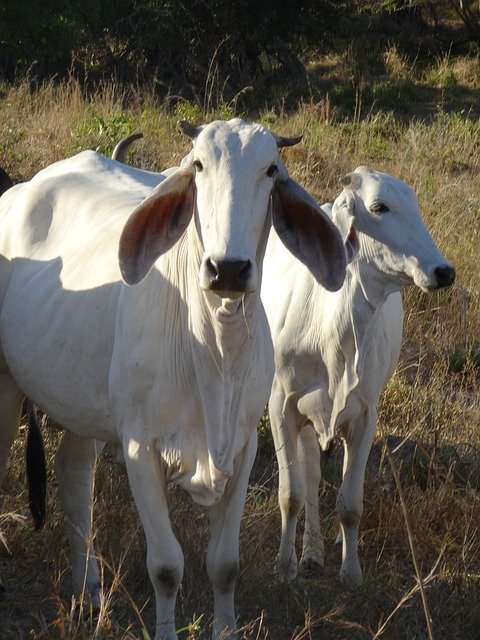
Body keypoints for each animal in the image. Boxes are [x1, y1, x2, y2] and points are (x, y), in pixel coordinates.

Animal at [0, 120, 346, 640]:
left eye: (271, 170)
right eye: (198, 164)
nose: (228, 269)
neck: (215, 346)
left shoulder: (243, 448)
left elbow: (225, 565)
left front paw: (226, 629)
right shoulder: (140, 448)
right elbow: (165, 567)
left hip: (84, 408)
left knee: (74, 476)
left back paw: (88, 593)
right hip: (5, 387)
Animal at [262, 168, 454, 588]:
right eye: (379, 207)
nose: (444, 271)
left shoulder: (366, 415)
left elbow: (350, 504)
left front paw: (351, 571)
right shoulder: (282, 405)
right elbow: (291, 494)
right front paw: (283, 567)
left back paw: (317, 549)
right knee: (310, 475)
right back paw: (309, 552)